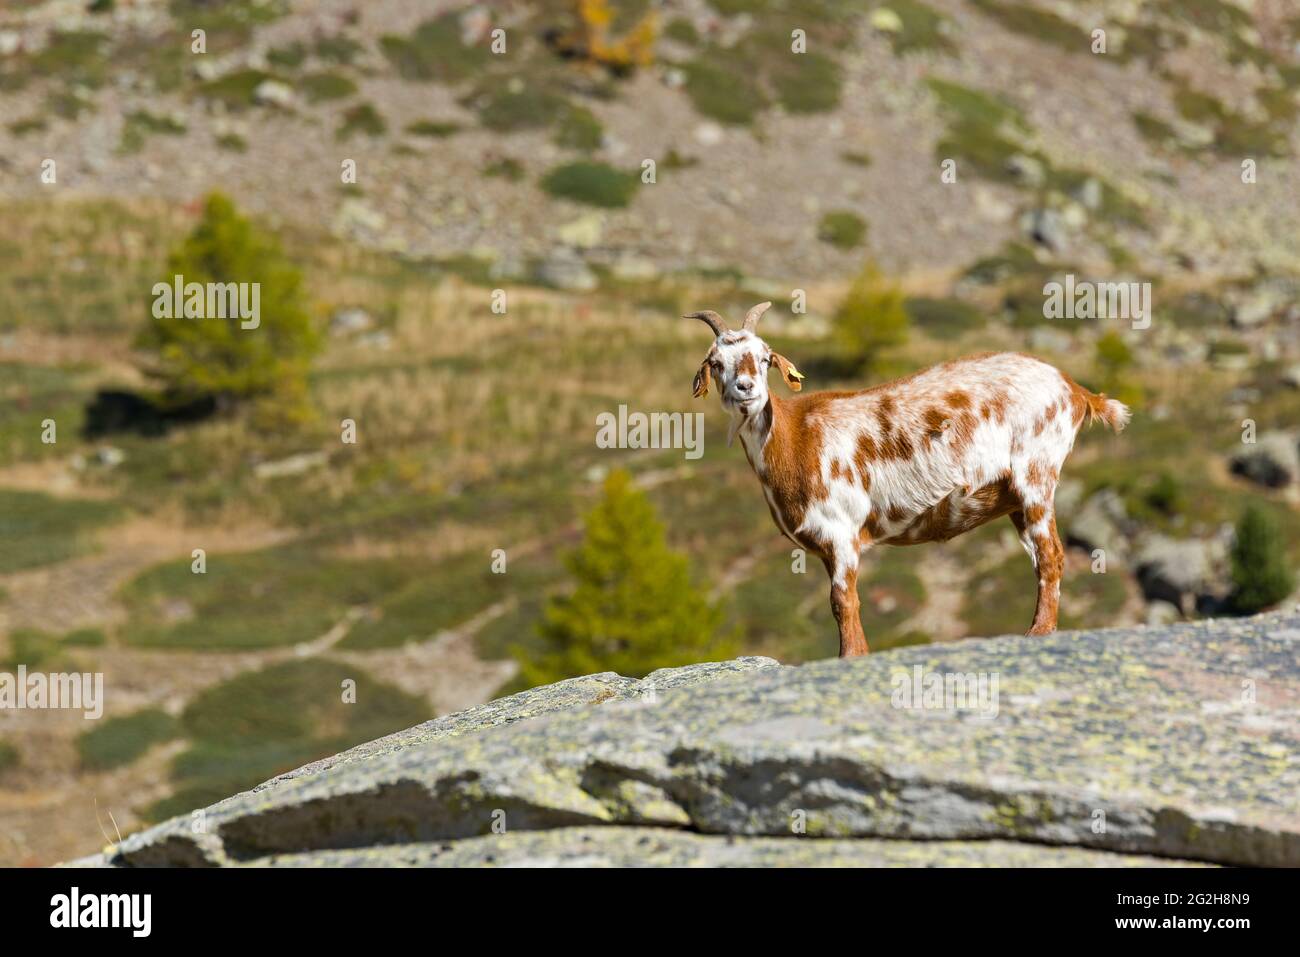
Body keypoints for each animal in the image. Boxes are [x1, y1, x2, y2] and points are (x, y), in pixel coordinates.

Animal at [691, 300, 1128, 657]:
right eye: (716, 363)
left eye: (765, 358)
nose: (746, 388)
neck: (796, 437)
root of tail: (1074, 389)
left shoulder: (841, 531)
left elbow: (843, 602)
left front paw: (851, 657)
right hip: (1018, 499)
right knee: (1040, 557)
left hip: (1036, 473)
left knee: (1051, 556)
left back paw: (1038, 633)